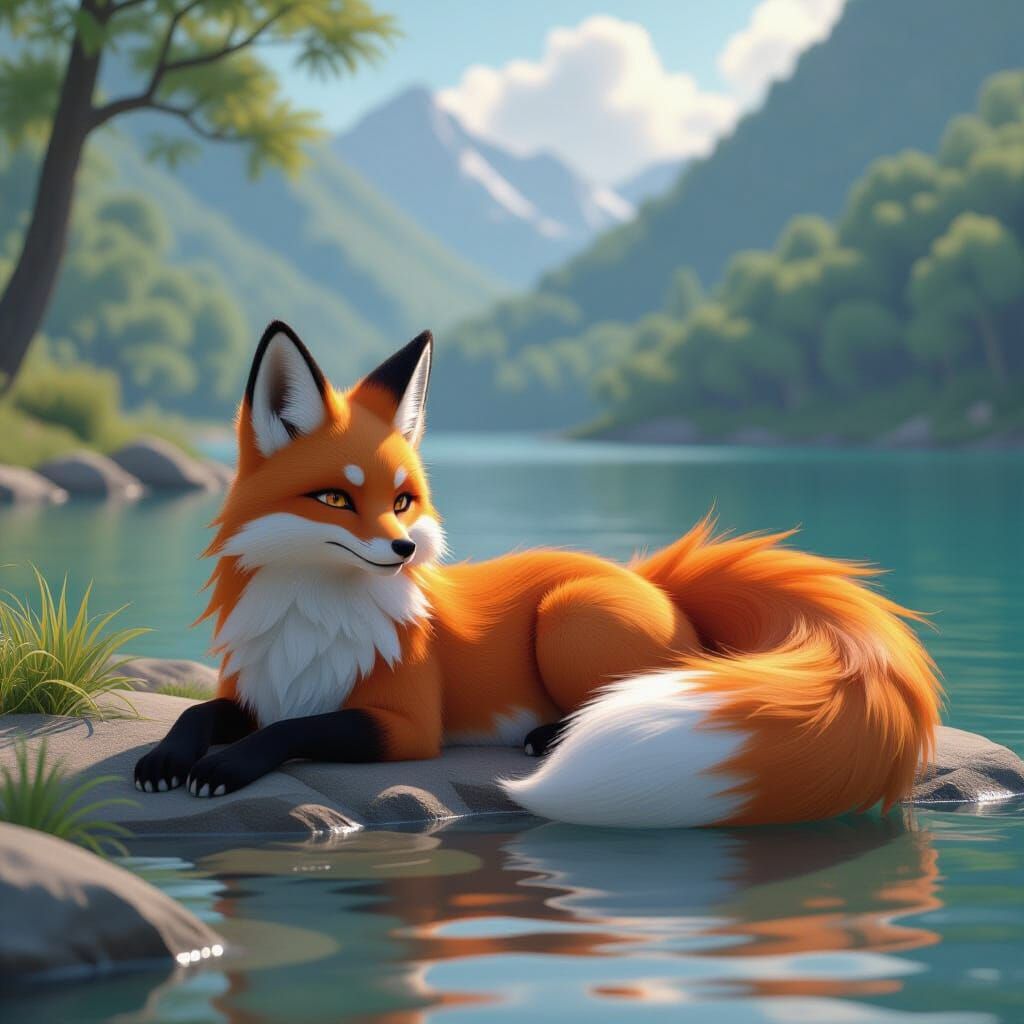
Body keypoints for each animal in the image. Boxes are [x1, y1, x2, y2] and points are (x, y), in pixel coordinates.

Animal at [134, 320, 942, 828]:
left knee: (662, 678)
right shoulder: (259, 687)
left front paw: (226, 767)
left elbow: (297, 728)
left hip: (568, 619)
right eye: (335, 499)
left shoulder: (404, 725)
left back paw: (555, 732)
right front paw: (168, 757)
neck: (312, 619)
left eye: (402, 501)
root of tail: (657, 583)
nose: (402, 551)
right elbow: (202, 712)